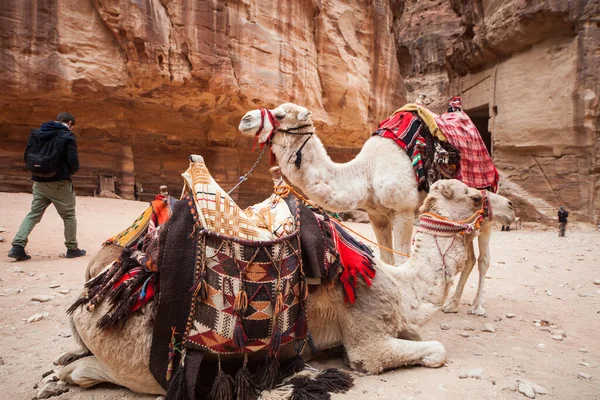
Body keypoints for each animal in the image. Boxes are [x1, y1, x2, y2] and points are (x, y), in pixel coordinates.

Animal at [56, 178, 508, 394]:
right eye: (472, 195)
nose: (508, 207)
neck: (401, 282)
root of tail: (92, 293)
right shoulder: (368, 338)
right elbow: (433, 351)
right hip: (150, 360)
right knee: (90, 374)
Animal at [238, 102, 516, 316]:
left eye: (280, 114)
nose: (245, 119)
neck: (366, 172)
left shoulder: (403, 210)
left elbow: (403, 259)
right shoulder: (376, 214)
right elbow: (387, 259)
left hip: (486, 211)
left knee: (484, 258)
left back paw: (477, 307)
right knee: (469, 258)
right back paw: (452, 304)